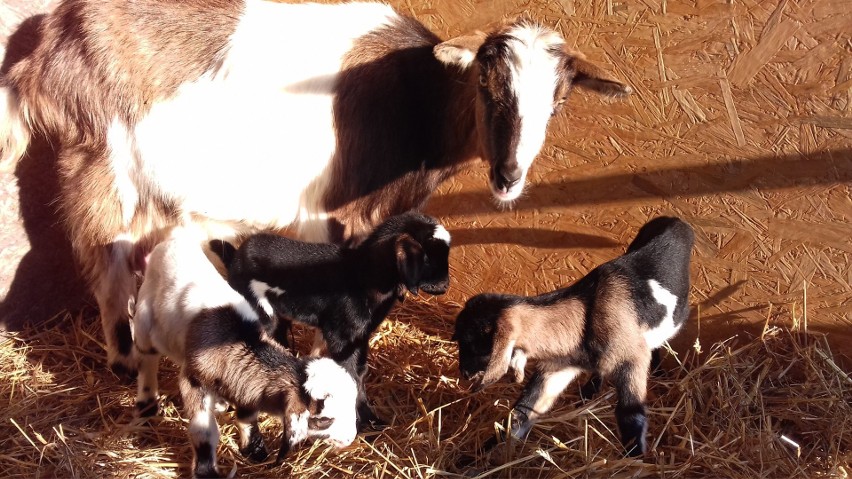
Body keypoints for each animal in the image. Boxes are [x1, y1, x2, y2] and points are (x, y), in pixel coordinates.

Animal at [1, 0, 632, 376]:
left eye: (559, 101)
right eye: (485, 82)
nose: (508, 177)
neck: (415, 101)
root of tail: (47, 46)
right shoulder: (338, 218)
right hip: (104, 169)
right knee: (107, 276)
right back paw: (127, 365)